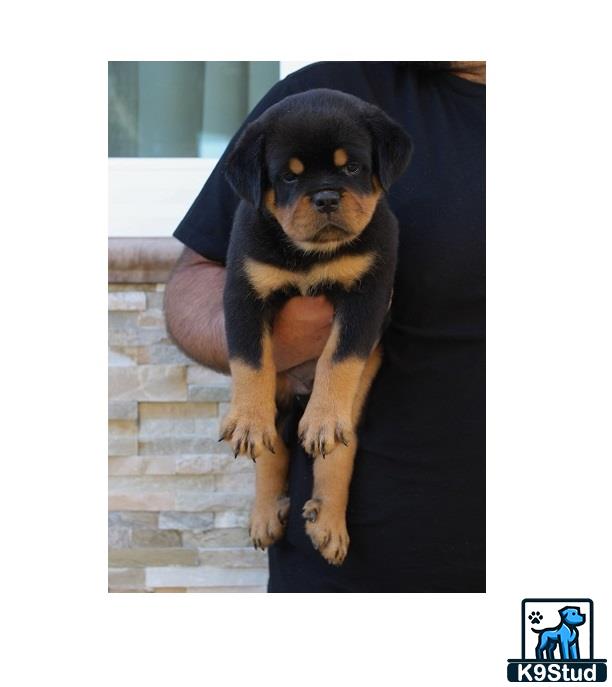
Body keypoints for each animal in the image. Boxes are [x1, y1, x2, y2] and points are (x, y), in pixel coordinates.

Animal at [220, 88, 412, 568]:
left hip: (354, 404)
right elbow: (250, 360)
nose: (325, 197)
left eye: (352, 168)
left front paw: (322, 419)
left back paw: (327, 520)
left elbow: (338, 358)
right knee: (272, 449)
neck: (311, 255)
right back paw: (265, 513)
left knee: (341, 447)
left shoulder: (368, 295)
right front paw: (247, 421)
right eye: (288, 178)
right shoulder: (243, 290)